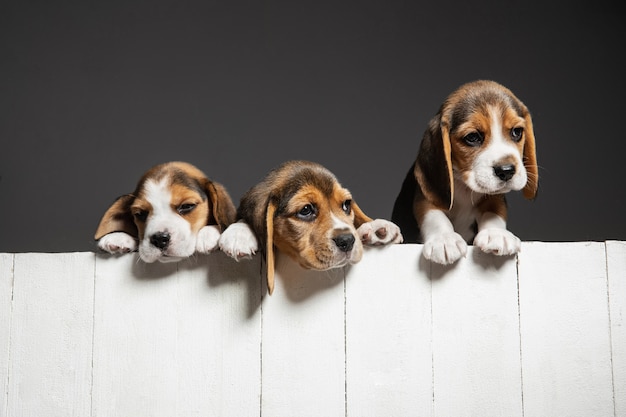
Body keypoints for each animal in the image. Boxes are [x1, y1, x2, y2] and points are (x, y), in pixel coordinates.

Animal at [390, 79, 536, 264]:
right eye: (472, 137)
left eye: (517, 132)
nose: (506, 171)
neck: (464, 187)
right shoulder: (426, 196)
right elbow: (434, 215)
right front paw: (445, 240)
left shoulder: (494, 195)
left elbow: (494, 211)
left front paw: (497, 234)